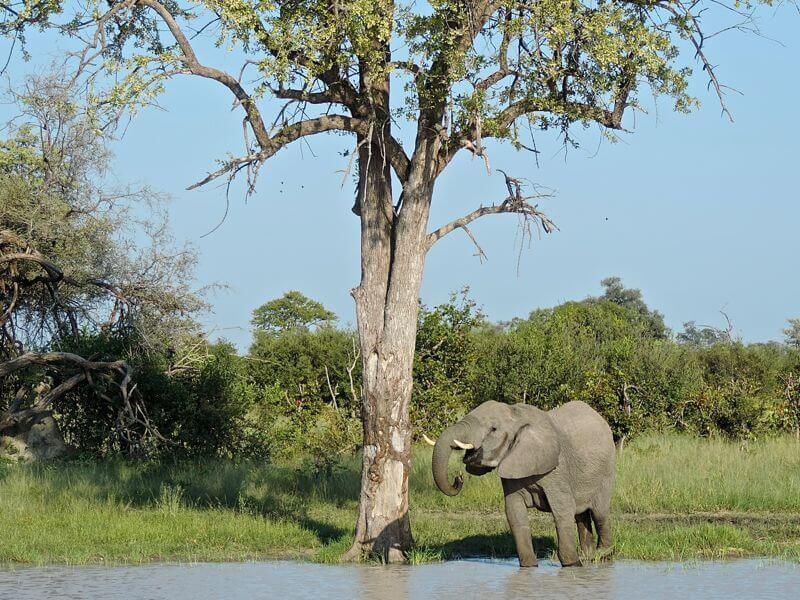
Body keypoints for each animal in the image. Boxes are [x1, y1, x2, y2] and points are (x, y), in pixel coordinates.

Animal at [427, 400, 615, 567]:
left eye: (493, 429)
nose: (458, 478)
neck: (517, 415)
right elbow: (514, 513)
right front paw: (529, 567)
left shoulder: (557, 471)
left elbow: (562, 510)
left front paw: (572, 565)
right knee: (581, 515)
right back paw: (588, 557)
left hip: (606, 473)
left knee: (599, 514)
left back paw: (603, 556)